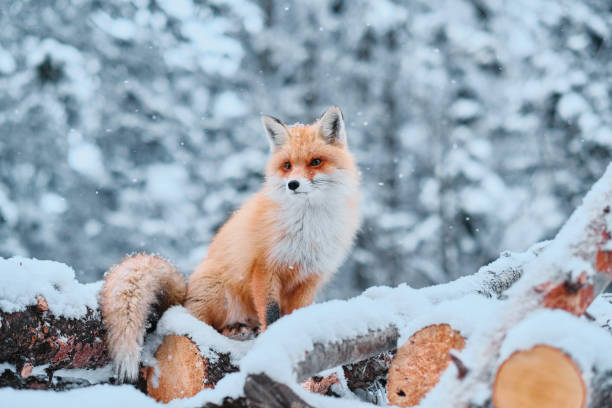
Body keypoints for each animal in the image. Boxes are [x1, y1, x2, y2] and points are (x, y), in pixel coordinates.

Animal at [98, 107, 360, 380]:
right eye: (287, 165)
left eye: (315, 161)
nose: (293, 184)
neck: (308, 228)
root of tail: (185, 293)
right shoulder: (265, 268)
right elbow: (271, 314)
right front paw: (273, 342)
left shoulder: (311, 276)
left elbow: (295, 315)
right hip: (218, 294)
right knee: (190, 322)